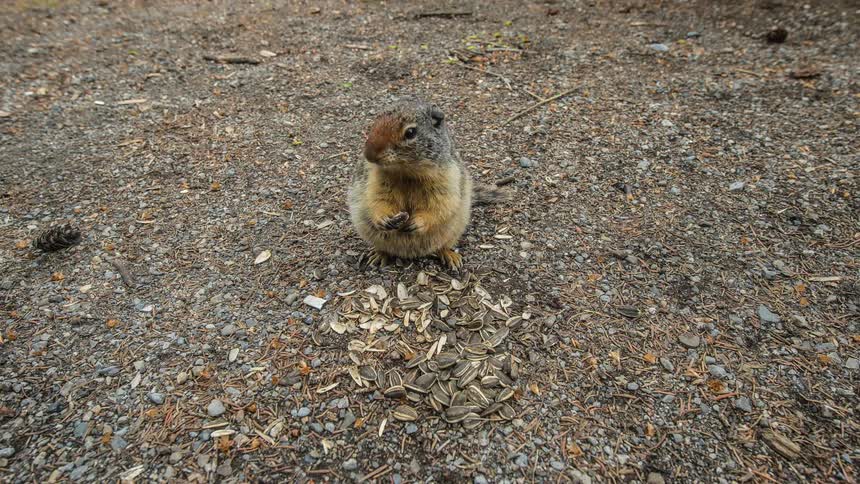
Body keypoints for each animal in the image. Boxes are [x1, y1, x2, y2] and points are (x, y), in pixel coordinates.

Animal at [348, 97, 507, 270]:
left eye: (410, 132)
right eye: (374, 123)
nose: (369, 154)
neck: (406, 173)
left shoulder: (447, 179)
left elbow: (439, 206)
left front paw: (417, 223)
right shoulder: (373, 180)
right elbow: (377, 200)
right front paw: (383, 219)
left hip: (454, 230)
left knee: (442, 246)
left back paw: (451, 256)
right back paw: (378, 255)